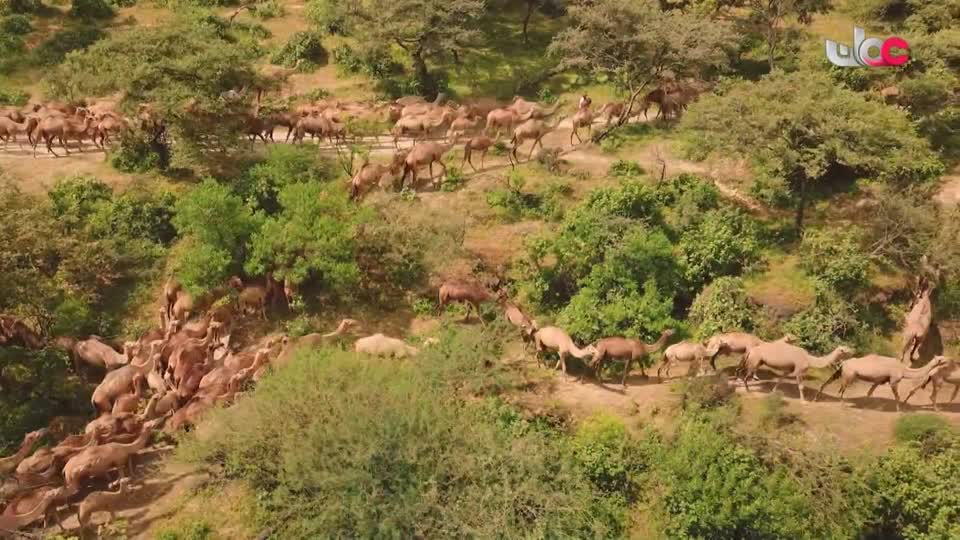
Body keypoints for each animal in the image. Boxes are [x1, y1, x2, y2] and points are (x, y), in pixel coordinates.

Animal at [812, 354, 948, 410]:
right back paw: (842, 404)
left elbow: (869, 393)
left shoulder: (879, 381)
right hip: (849, 376)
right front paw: (899, 410)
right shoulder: (893, 381)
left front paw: (867, 406)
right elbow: (897, 396)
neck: (904, 370)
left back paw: (816, 399)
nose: (947, 359)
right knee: (841, 389)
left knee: (827, 383)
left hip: (840, 372)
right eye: (941, 359)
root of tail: (843, 363)